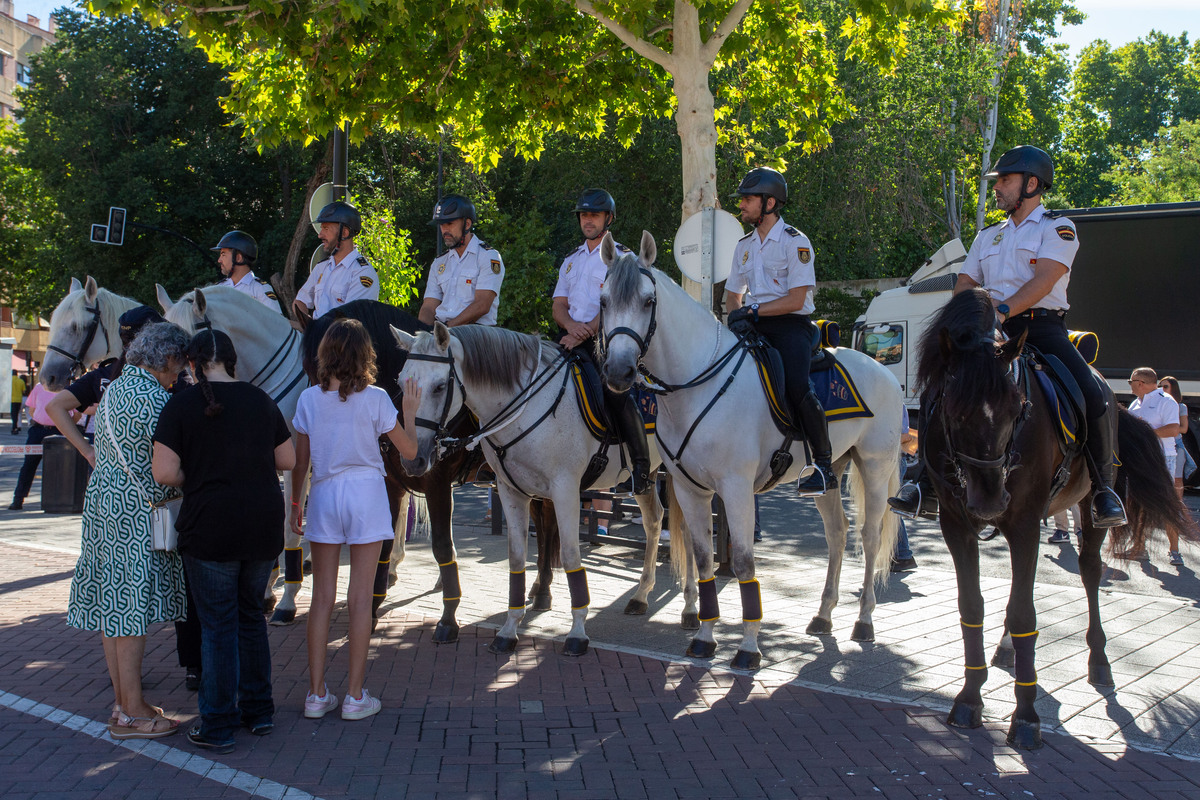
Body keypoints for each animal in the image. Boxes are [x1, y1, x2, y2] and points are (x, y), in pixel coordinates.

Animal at [300, 299, 561, 638]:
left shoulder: (437, 486)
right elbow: (383, 545)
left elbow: (441, 547)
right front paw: (371, 608)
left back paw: (543, 590)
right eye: (307, 368)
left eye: (335, 366)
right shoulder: (391, 484)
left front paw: (448, 617)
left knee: (546, 526)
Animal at [393, 321, 691, 652]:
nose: (413, 459)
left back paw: (691, 610)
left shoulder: (565, 492)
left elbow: (572, 556)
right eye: (401, 383)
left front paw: (577, 633)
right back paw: (641, 596)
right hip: (646, 478)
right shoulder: (512, 492)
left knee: (688, 532)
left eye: (438, 387)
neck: (528, 406)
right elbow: (517, 557)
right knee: (654, 521)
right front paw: (509, 630)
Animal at [600, 231, 902, 671]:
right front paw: (704, 638)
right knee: (837, 533)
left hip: (875, 467)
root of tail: (884, 370)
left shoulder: (736, 489)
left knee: (870, 536)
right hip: (830, 472)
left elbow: (742, 561)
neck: (698, 384)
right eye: (603, 301)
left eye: (648, 300)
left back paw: (863, 620)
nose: (618, 373)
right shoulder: (690, 489)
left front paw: (747, 647)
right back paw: (823, 615)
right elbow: (703, 559)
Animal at [916, 289, 1190, 753]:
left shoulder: (1025, 522)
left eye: (1017, 406)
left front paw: (1026, 717)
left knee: (1090, 572)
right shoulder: (956, 526)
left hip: (1089, 507)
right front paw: (969, 699)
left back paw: (1100, 662)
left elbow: (1025, 614)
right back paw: (1007, 650)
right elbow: (972, 605)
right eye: (951, 408)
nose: (989, 499)